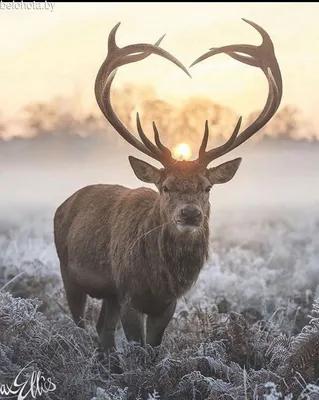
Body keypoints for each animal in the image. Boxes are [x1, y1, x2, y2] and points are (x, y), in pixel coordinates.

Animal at [53, 19, 284, 356]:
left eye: (207, 187)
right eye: (165, 186)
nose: (190, 214)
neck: (159, 280)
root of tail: (65, 203)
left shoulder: (167, 304)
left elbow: (153, 348)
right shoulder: (128, 293)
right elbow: (138, 347)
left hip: (108, 293)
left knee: (102, 329)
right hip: (67, 271)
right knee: (80, 324)